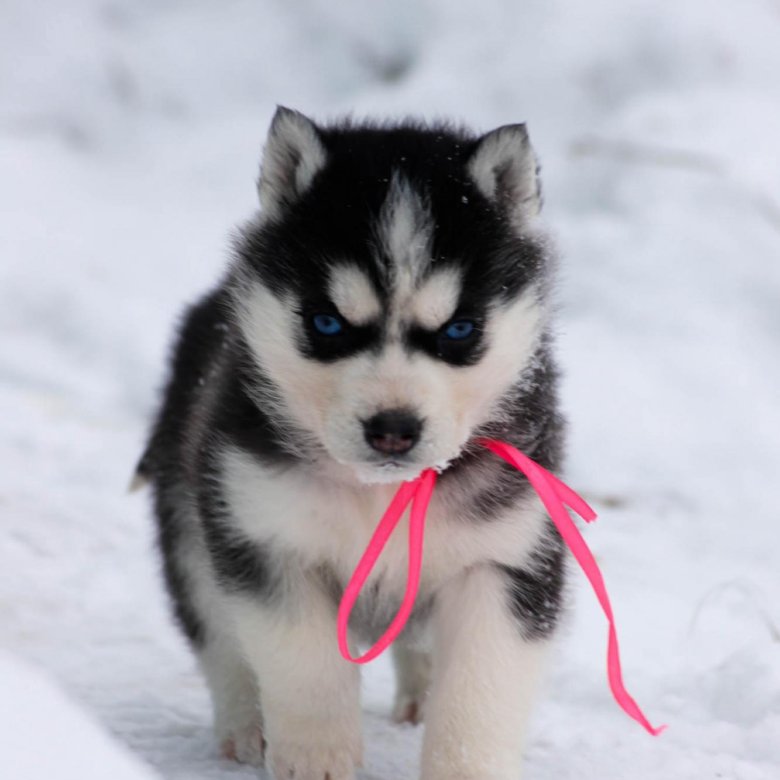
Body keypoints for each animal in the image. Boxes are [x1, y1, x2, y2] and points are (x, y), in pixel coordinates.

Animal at [137, 108, 568, 780]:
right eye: (327, 323)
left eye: (459, 330)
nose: (392, 427)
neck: (379, 492)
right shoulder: (268, 539)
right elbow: (306, 667)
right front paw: (317, 759)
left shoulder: (507, 558)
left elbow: (479, 689)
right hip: (191, 521)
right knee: (217, 635)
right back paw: (244, 729)